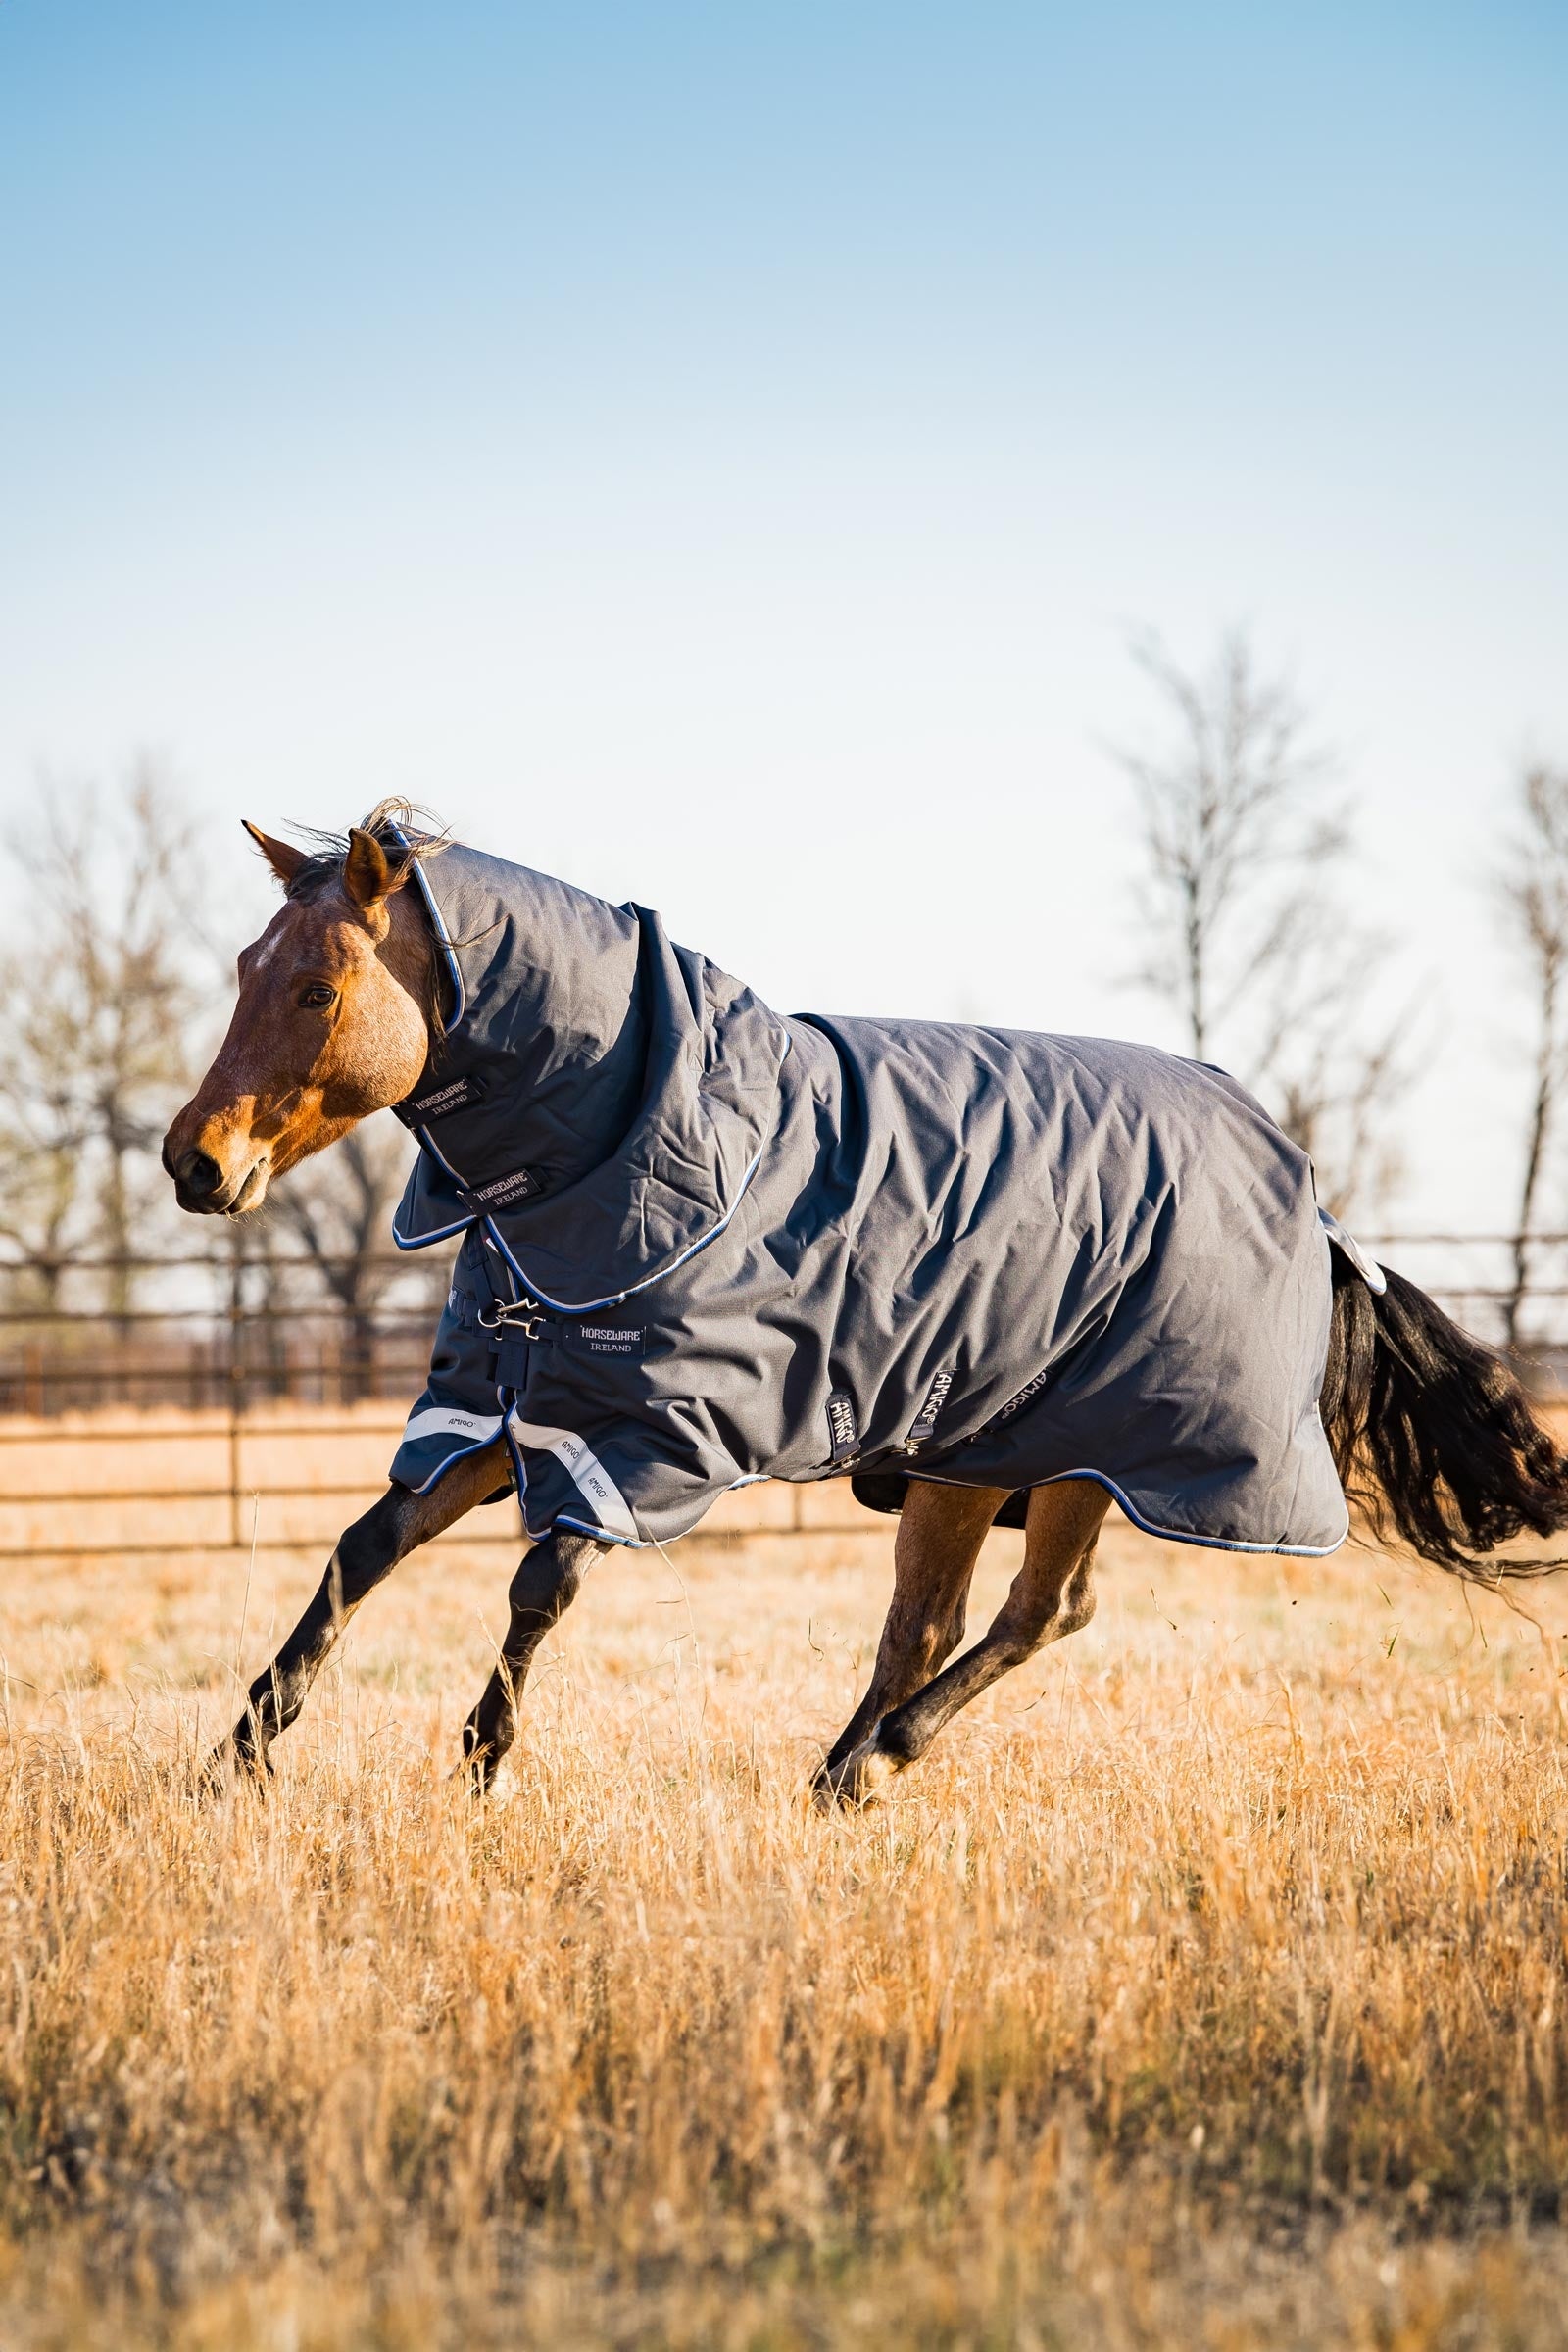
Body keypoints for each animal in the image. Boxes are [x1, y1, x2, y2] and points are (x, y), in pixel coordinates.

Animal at [163, 808, 1568, 1803]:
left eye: (316, 990)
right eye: (241, 968)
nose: (194, 1163)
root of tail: (1312, 1207)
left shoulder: (649, 1438)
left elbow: (541, 1583)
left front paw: (483, 1761)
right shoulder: (500, 1413)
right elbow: (364, 1552)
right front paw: (242, 1754)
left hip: (1079, 1456)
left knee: (1036, 1614)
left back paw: (878, 1761)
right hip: (968, 1458)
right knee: (932, 1624)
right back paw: (844, 1769)